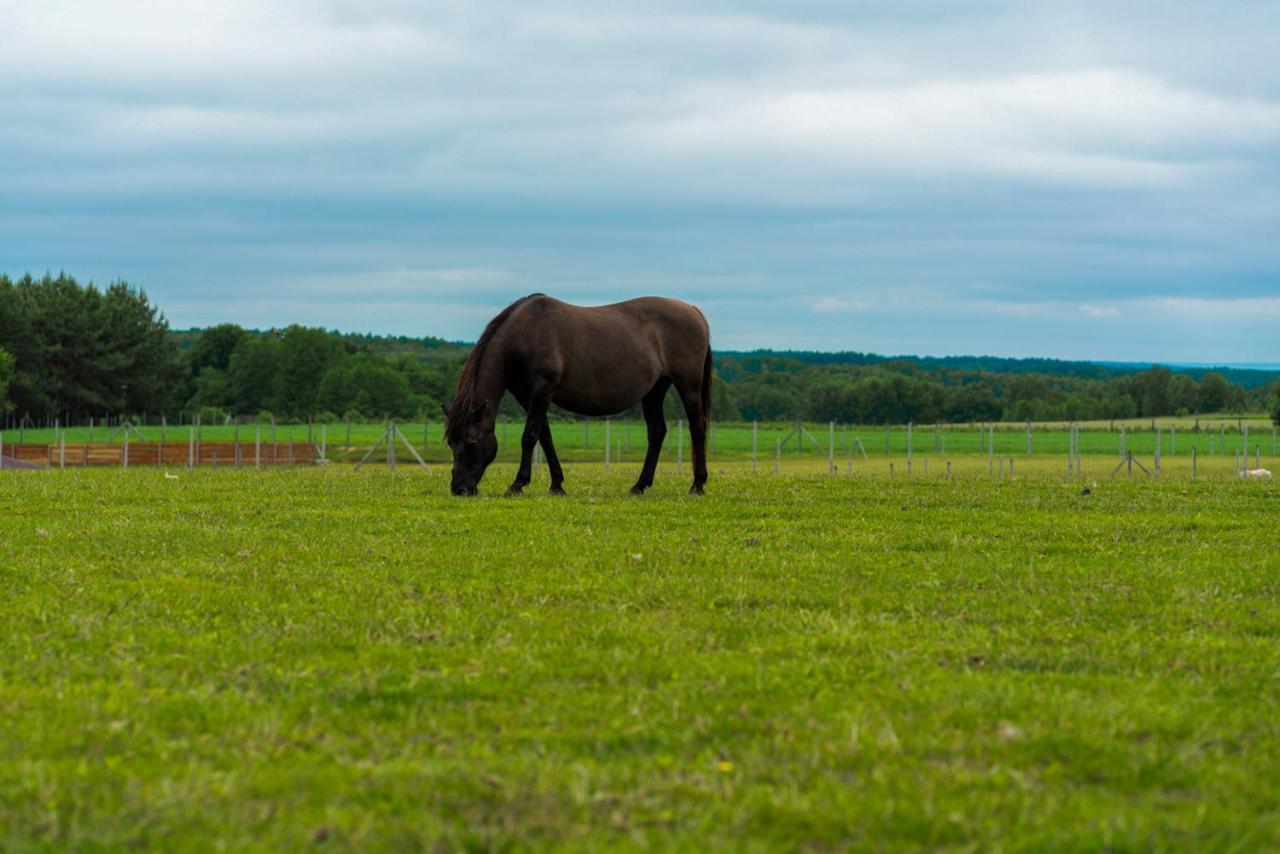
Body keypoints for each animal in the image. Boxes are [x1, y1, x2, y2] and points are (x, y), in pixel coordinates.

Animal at [445, 294, 716, 496]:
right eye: (450, 442)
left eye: (471, 440)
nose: (459, 488)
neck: (526, 333)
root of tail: (693, 311)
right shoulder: (526, 395)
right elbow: (544, 436)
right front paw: (556, 485)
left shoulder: (542, 389)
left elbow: (530, 436)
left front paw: (518, 484)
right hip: (655, 390)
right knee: (657, 432)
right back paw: (639, 486)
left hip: (688, 386)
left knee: (697, 428)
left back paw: (697, 485)